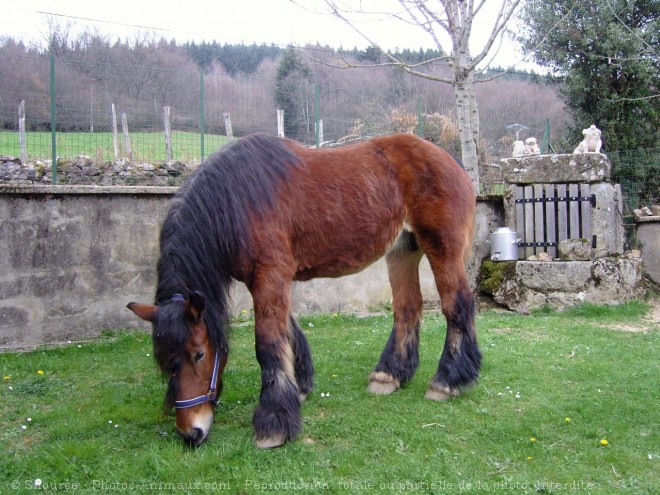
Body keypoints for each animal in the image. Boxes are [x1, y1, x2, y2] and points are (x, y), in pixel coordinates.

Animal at [127, 133, 480, 450]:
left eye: (199, 353)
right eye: (163, 360)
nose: (191, 433)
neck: (238, 201)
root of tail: (453, 164)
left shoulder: (270, 274)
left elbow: (268, 343)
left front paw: (274, 423)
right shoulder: (269, 279)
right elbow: (288, 330)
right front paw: (300, 386)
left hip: (442, 250)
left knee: (457, 306)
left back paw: (448, 380)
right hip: (403, 250)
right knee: (408, 307)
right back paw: (389, 375)